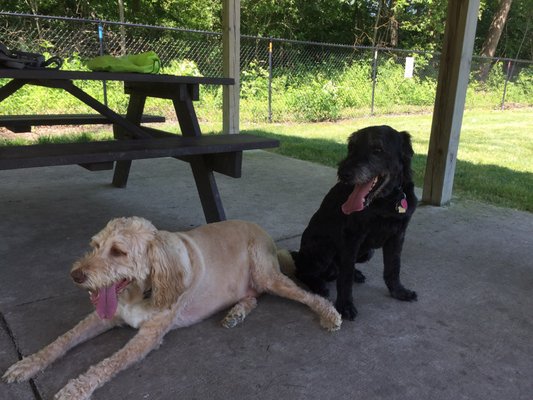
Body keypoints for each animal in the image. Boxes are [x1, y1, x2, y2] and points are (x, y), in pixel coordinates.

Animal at [2, 219, 338, 400]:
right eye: (95, 246)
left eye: (119, 251)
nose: (76, 275)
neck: (144, 288)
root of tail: (264, 232)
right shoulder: (105, 317)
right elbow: (63, 340)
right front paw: (27, 364)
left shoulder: (148, 337)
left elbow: (106, 364)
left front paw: (75, 388)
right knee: (253, 297)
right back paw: (236, 313)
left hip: (269, 276)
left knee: (305, 295)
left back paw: (329, 314)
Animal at [294, 125, 418, 318]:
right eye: (351, 147)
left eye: (377, 149)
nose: (343, 173)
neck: (386, 201)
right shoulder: (351, 237)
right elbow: (344, 278)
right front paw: (345, 305)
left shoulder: (398, 236)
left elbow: (393, 267)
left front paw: (398, 291)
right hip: (324, 249)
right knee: (303, 271)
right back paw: (318, 285)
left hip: (367, 252)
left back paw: (356, 274)